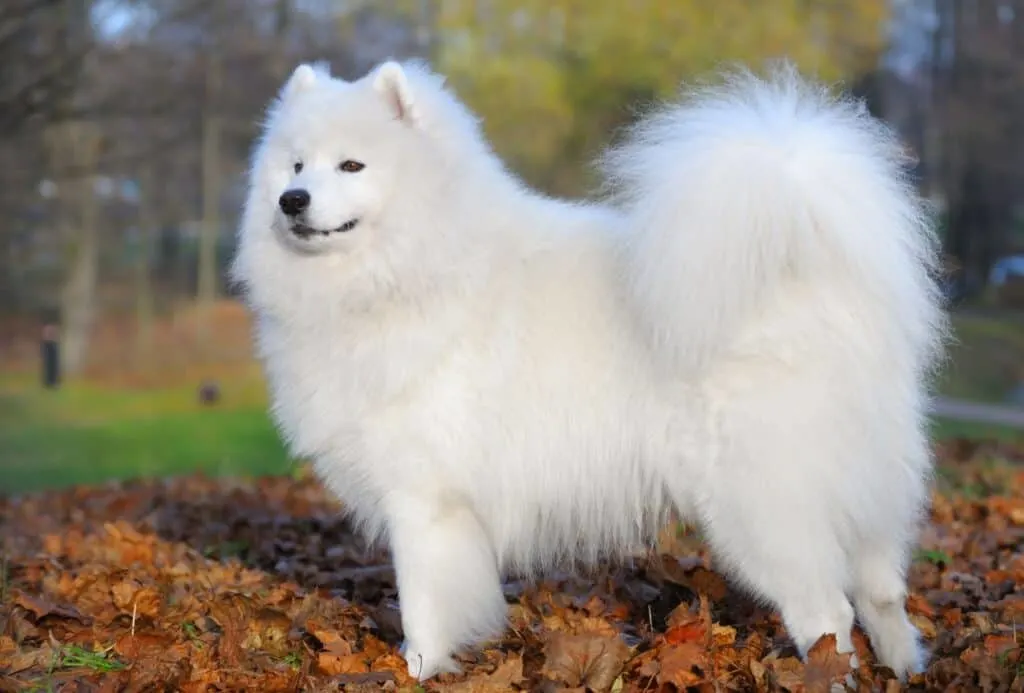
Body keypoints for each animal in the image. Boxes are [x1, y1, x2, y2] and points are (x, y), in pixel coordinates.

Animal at [230, 59, 942, 679]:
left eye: (352, 164)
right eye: (295, 164)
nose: (292, 199)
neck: (415, 267)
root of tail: (811, 279)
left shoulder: (424, 498)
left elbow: (423, 603)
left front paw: (420, 669)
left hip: (761, 503)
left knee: (828, 612)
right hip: (862, 490)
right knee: (882, 594)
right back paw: (905, 668)